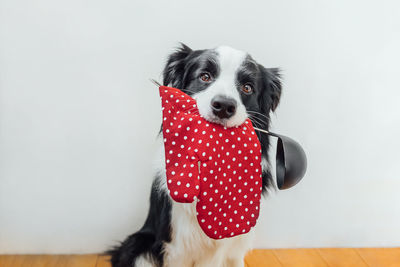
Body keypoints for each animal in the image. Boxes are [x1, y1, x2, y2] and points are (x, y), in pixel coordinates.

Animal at [108, 44, 282, 267]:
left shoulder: (236, 246)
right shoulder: (177, 245)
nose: (224, 106)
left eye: (247, 87)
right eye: (205, 76)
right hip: (139, 247)